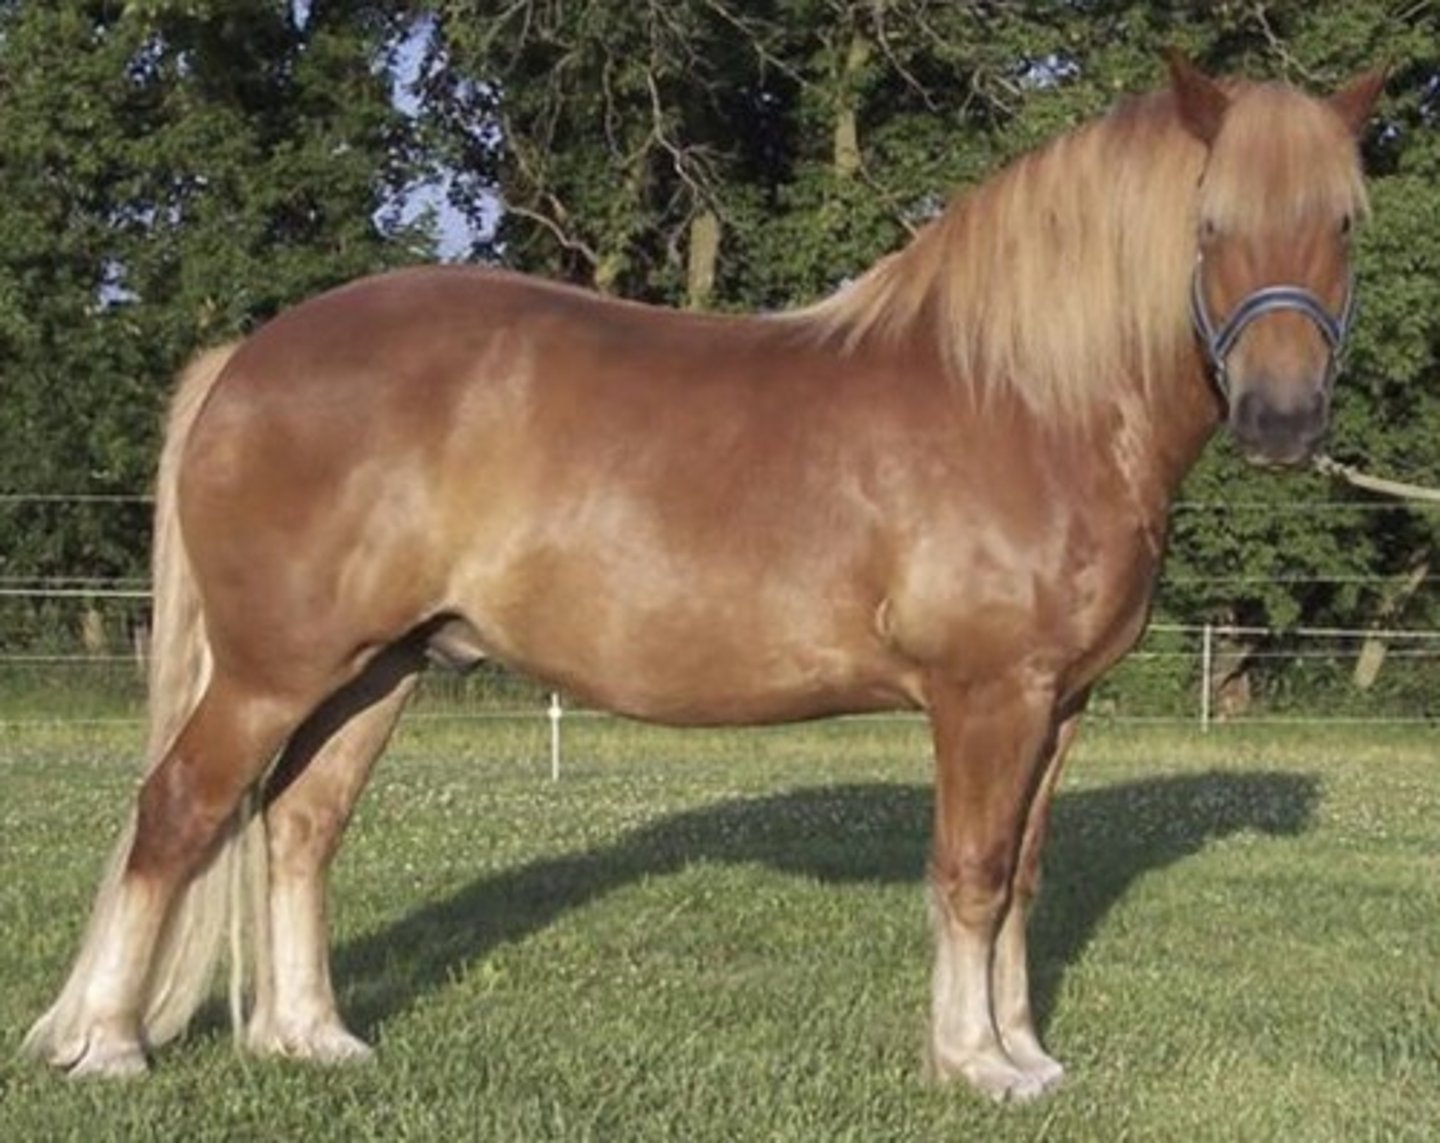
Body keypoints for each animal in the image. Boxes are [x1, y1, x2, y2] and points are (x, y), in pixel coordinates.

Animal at [24, 53, 1382, 1101]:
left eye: (1347, 222)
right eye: (1209, 224)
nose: (1282, 420)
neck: (1027, 400)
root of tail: (251, 355)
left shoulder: (1060, 705)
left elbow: (1023, 882)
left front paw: (1027, 1057)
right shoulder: (986, 699)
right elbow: (972, 876)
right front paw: (973, 1065)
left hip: (377, 669)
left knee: (301, 827)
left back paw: (314, 1041)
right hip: (274, 670)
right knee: (177, 813)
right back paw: (106, 1048)